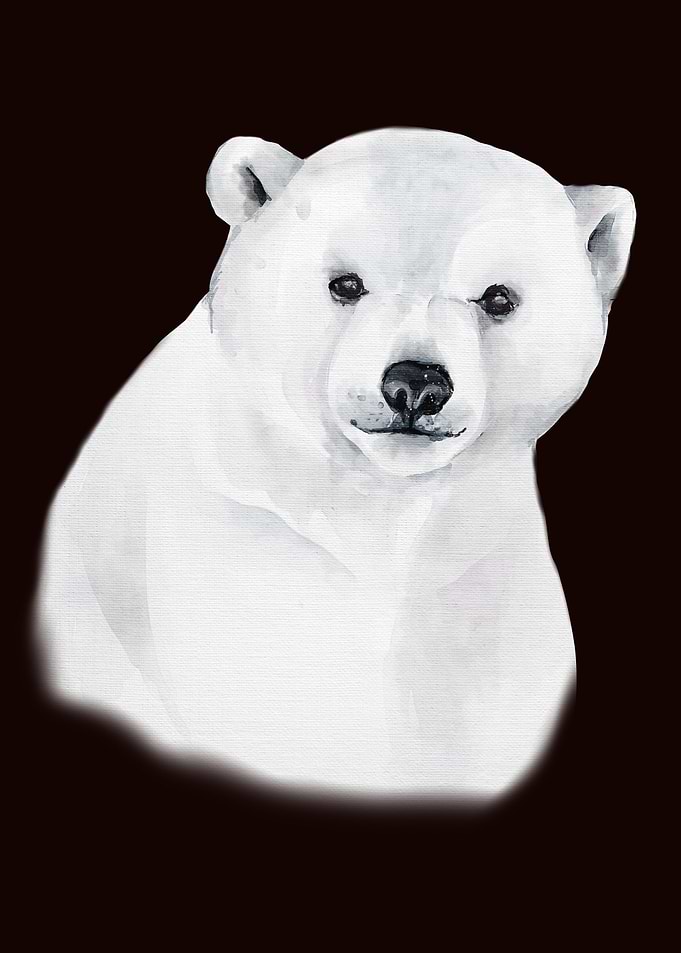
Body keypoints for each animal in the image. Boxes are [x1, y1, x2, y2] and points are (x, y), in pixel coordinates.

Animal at [36, 128, 635, 801]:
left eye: (499, 297)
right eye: (346, 284)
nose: (416, 384)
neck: (373, 504)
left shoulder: (476, 564)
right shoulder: (243, 529)